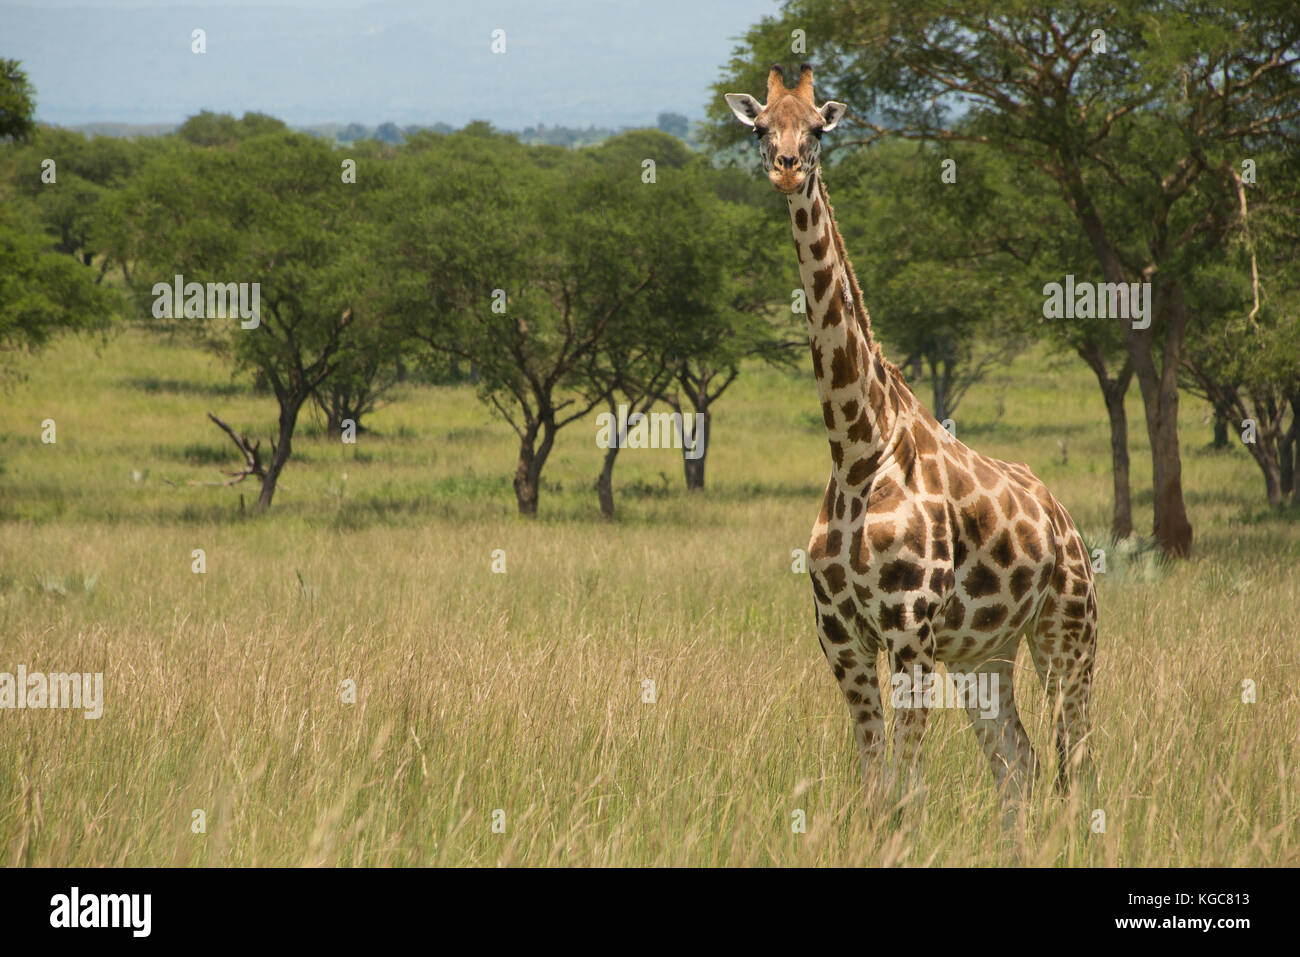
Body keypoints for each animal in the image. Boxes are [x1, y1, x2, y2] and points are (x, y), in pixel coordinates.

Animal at [725, 65, 1098, 817]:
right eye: (760, 127)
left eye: (818, 129)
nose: (786, 167)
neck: (856, 448)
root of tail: (1064, 521)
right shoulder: (841, 638)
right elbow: (875, 785)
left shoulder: (909, 630)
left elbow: (907, 790)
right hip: (987, 654)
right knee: (1019, 763)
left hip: (1068, 634)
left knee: (1075, 761)